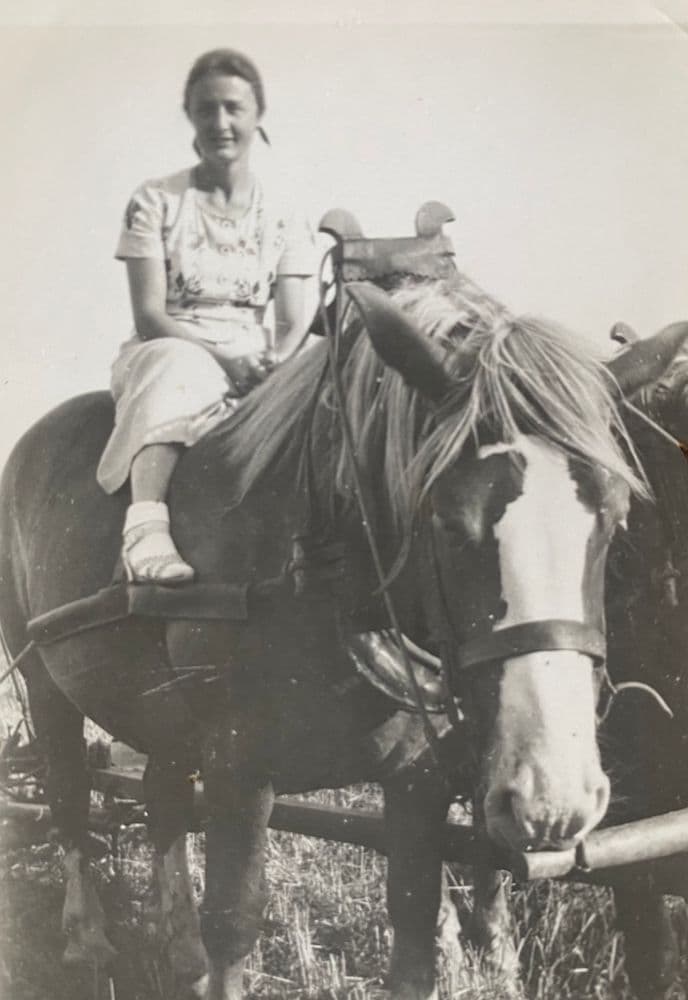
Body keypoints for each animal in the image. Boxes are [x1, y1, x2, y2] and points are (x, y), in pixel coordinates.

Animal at [0, 270, 684, 996]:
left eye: (615, 518)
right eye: (446, 520)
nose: (553, 798)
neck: (324, 570)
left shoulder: (419, 777)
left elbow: (412, 927)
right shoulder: (237, 764)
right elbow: (233, 920)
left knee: (161, 798)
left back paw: (177, 948)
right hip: (42, 680)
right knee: (70, 796)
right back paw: (88, 939)